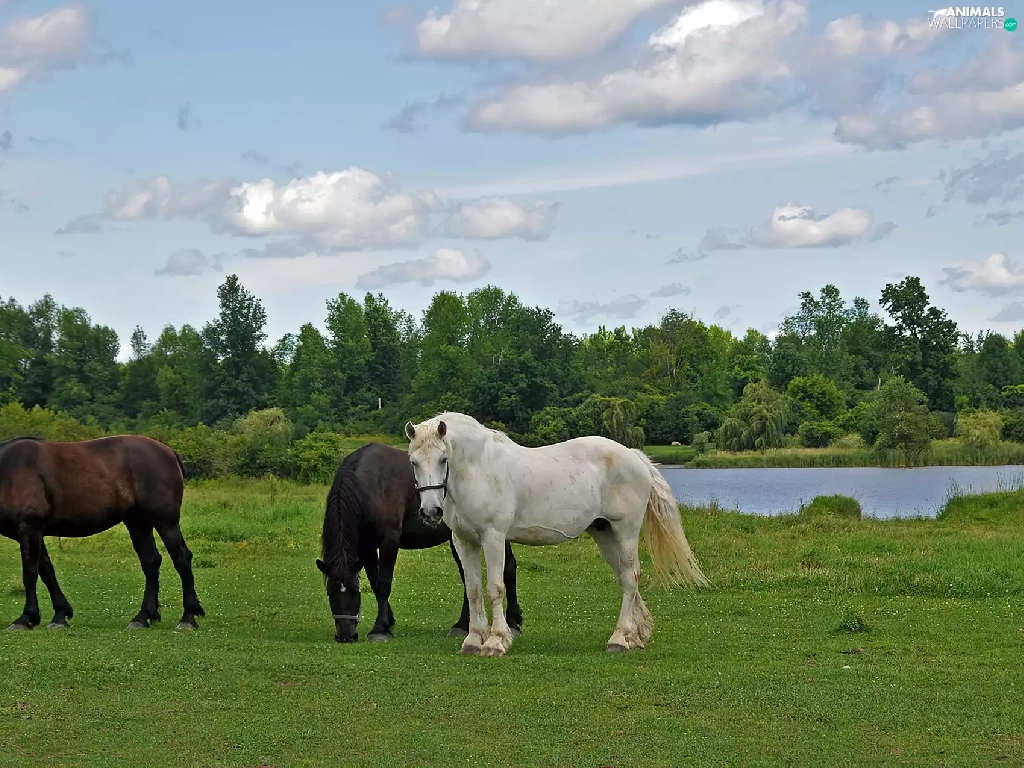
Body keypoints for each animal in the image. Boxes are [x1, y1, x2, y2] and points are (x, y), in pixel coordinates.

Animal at [0, 435, 204, 632]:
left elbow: (30, 573)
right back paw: (142, 618)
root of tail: (169, 452)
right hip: (138, 523)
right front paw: (60, 615)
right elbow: (47, 572)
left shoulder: (30, 528)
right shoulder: (34, 533)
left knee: (181, 559)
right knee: (151, 562)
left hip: (165, 523)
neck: (9, 472)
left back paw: (188, 618)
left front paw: (25, 618)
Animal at [314, 441, 524, 643]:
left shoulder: (389, 540)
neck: (370, 485)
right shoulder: (366, 546)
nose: (345, 636)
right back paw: (462, 625)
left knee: (508, 568)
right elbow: (374, 582)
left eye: (354, 591)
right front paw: (388, 621)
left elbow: (383, 583)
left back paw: (513, 623)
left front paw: (380, 629)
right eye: (330, 592)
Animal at [404, 412, 708, 657]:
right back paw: (635, 635)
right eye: (413, 462)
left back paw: (619, 638)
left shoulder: (493, 537)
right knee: (625, 578)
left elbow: (495, 588)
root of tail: (635, 457)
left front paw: (496, 641)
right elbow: (473, 590)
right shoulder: (464, 541)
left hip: (625, 531)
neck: (479, 468)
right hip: (604, 534)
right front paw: (472, 640)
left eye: (443, 459)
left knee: (631, 577)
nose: (430, 511)